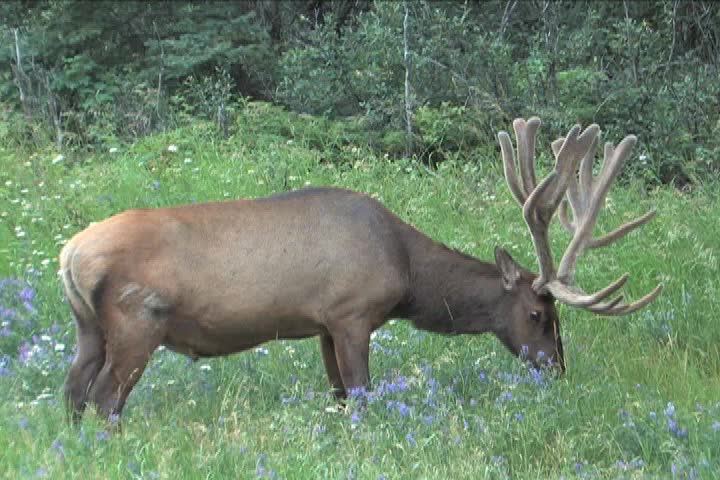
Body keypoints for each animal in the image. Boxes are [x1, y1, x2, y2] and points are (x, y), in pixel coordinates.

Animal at [60, 117, 662, 423]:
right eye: (539, 313)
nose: (557, 368)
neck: (407, 273)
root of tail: (70, 254)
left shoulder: (324, 325)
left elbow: (338, 395)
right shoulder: (351, 314)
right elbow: (361, 395)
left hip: (88, 327)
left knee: (71, 392)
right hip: (138, 322)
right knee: (105, 398)